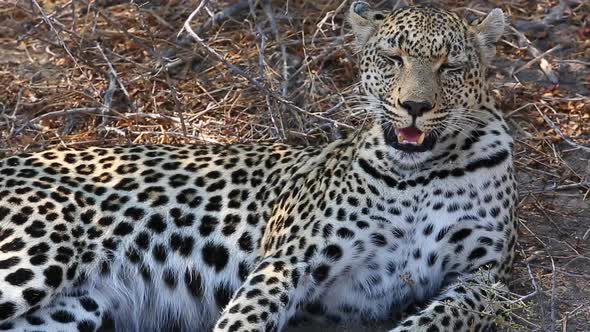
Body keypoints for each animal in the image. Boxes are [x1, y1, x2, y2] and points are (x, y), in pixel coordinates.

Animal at [0, 2, 520, 332]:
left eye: (450, 66)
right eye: (393, 58)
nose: (414, 106)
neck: (418, 172)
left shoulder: (482, 279)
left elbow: (437, 319)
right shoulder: (290, 260)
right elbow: (245, 319)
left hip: (74, 306)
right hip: (37, 254)